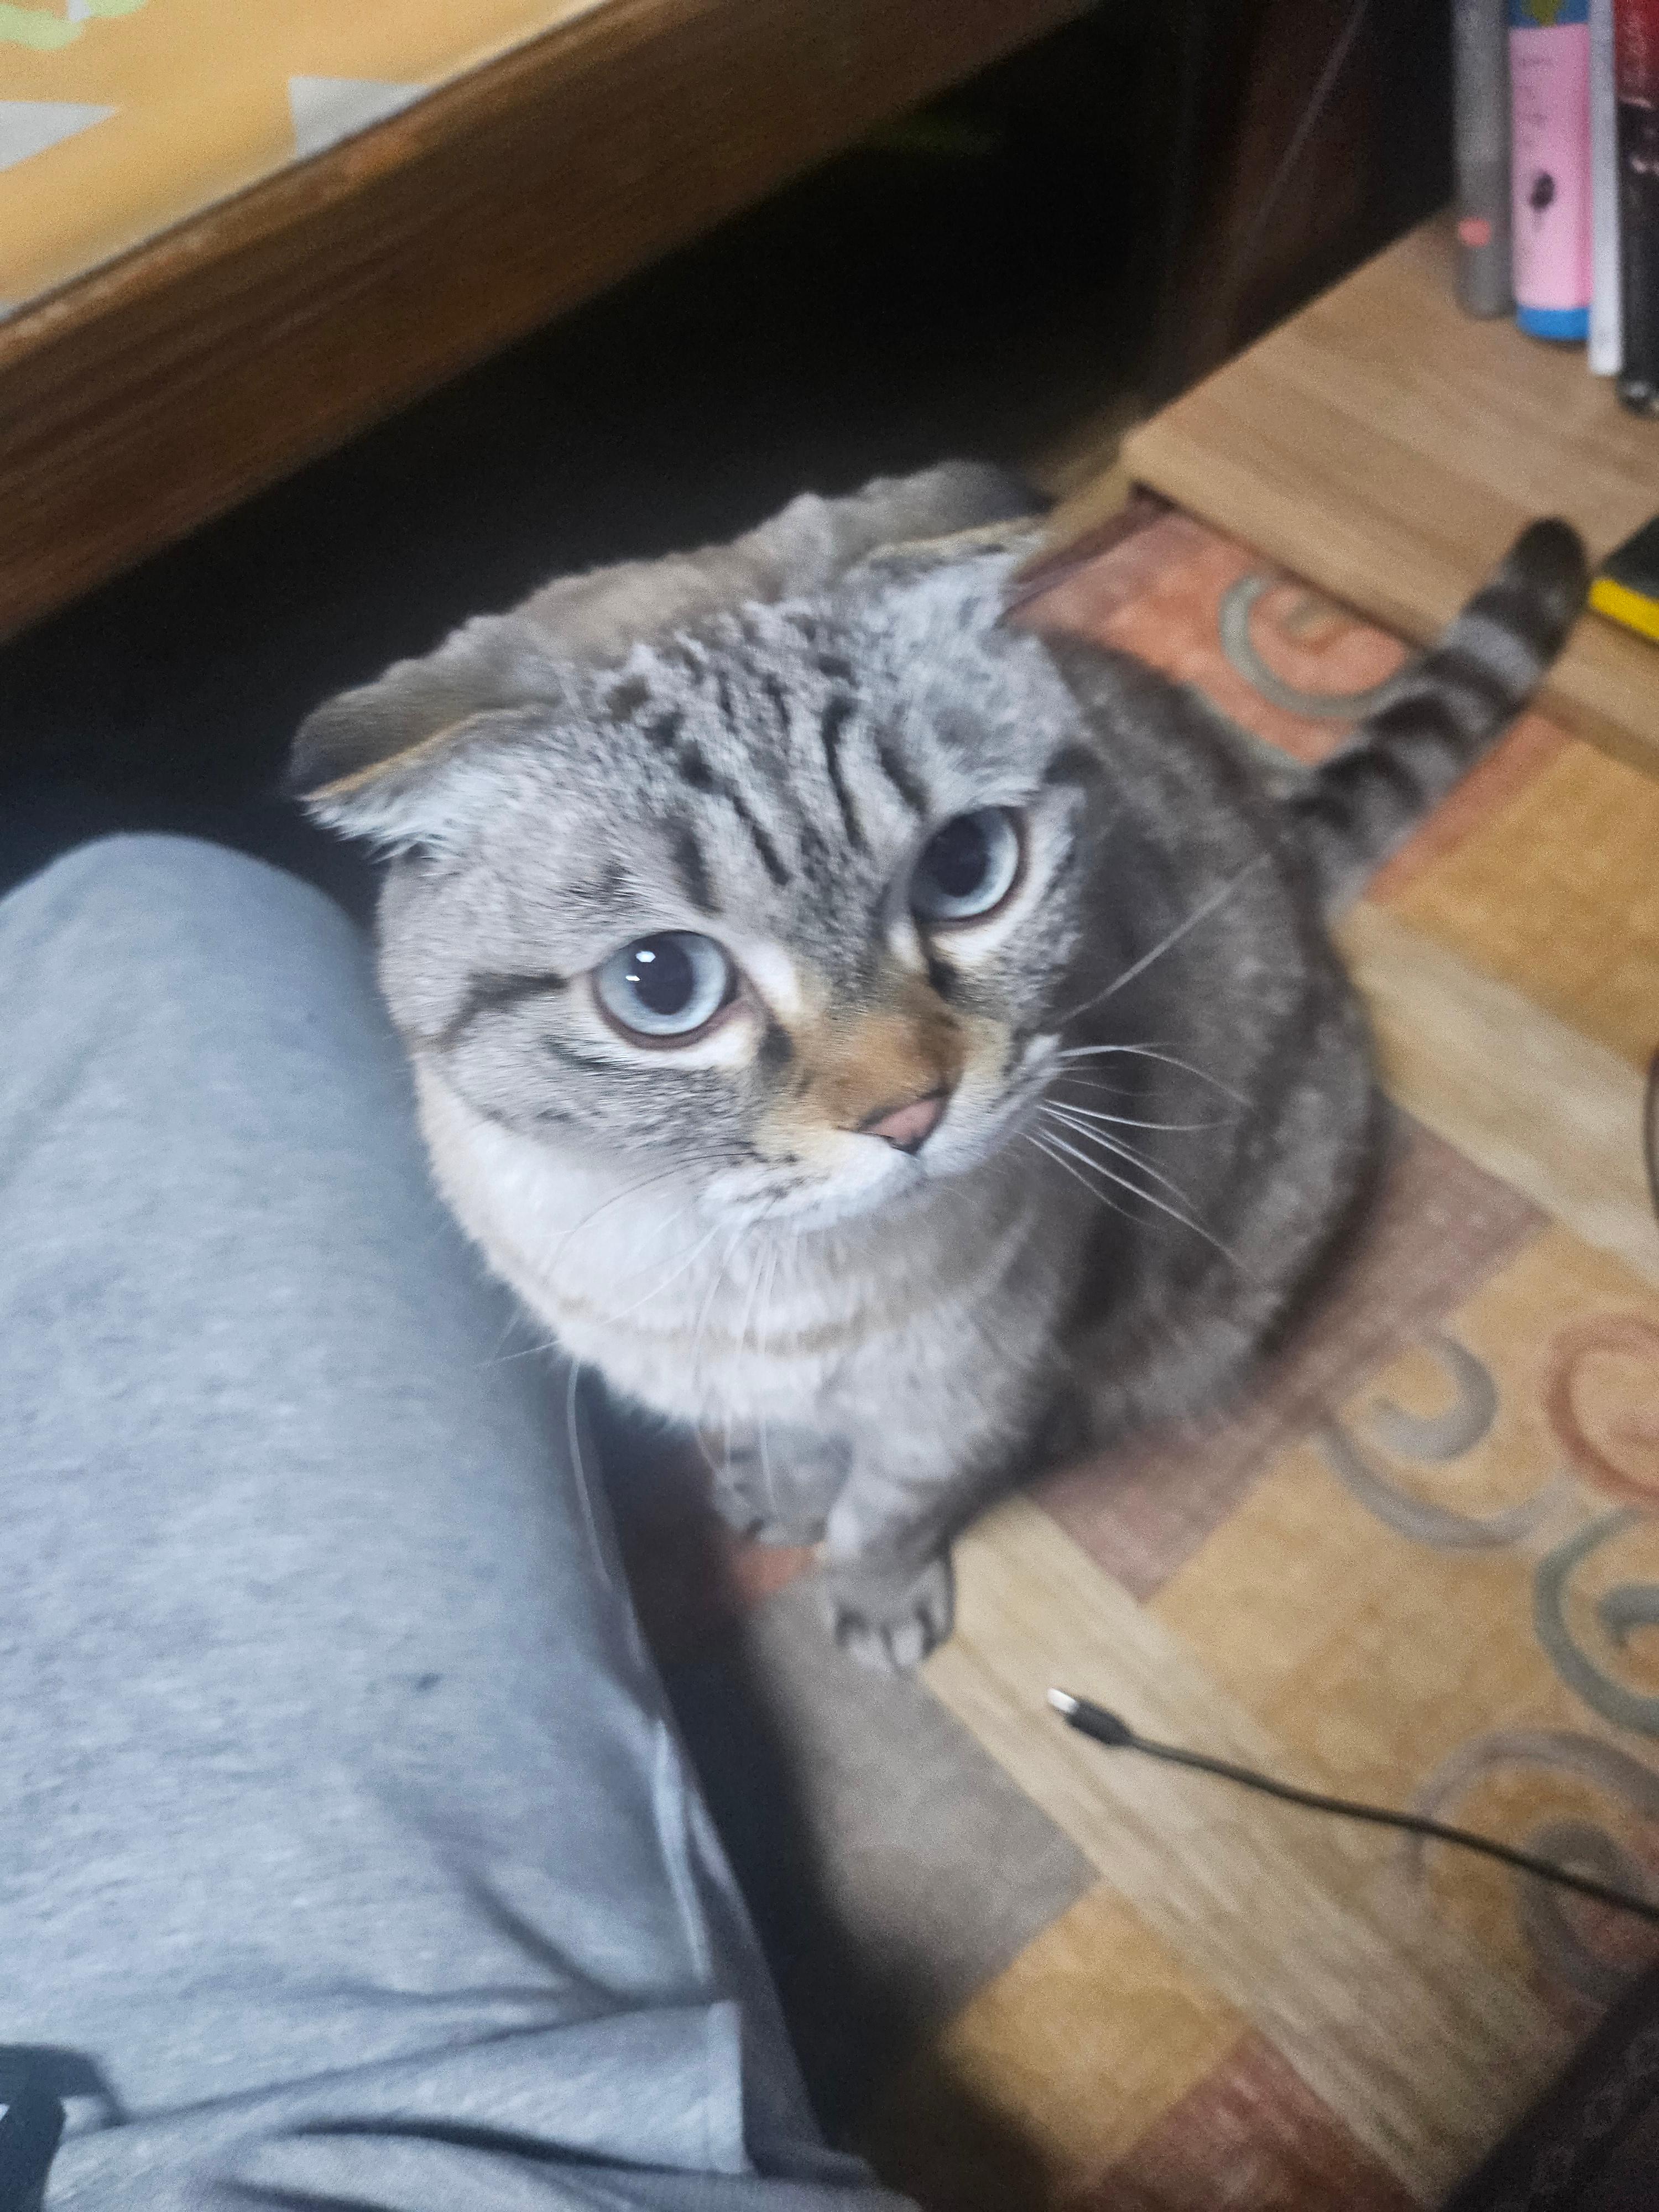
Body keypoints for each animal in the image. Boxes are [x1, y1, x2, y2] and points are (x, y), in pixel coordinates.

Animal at [292, 463, 1586, 1670]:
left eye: (966, 868)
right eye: (663, 985)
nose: (909, 1113)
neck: (752, 1276)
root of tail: (1283, 849)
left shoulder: (958, 1398)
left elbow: (887, 1517)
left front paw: (873, 1599)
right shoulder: (753, 1388)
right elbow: (799, 1454)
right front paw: (783, 1496)